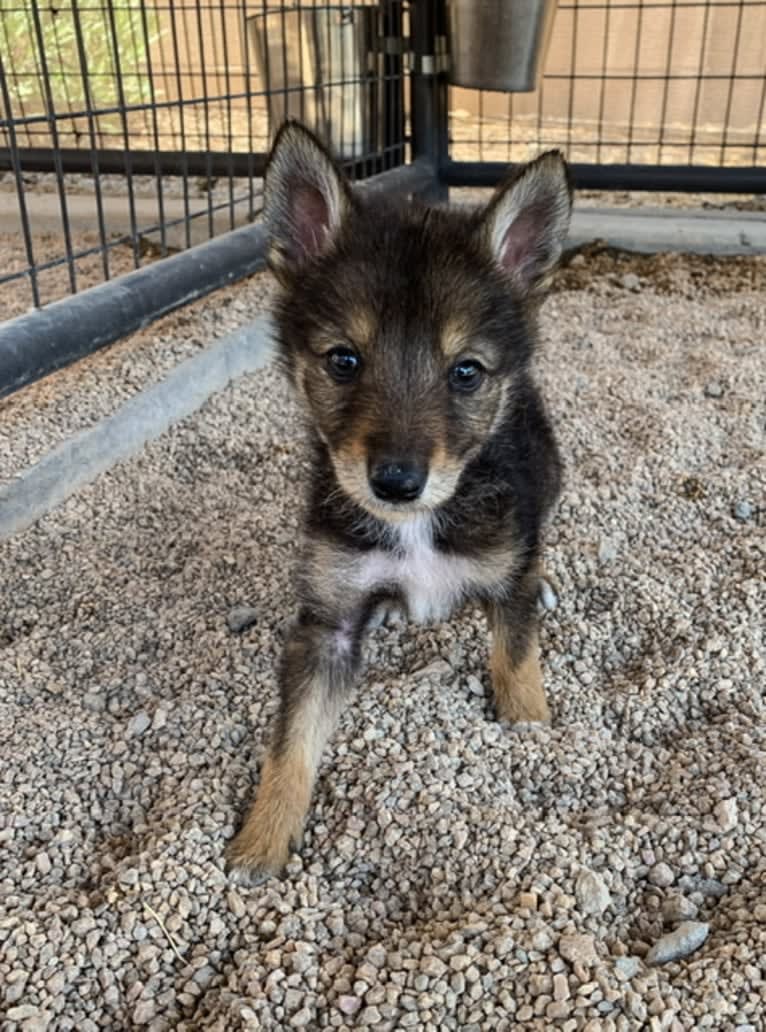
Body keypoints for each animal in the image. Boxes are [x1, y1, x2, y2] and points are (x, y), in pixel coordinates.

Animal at [225, 118, 573, 879]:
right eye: (343, 360)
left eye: (466, 372)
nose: (395, 482)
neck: (417, 524)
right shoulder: (325, 626)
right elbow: (291, 742)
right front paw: (262, 840)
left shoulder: (505, 578)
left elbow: (516, 661)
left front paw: (531, 729)